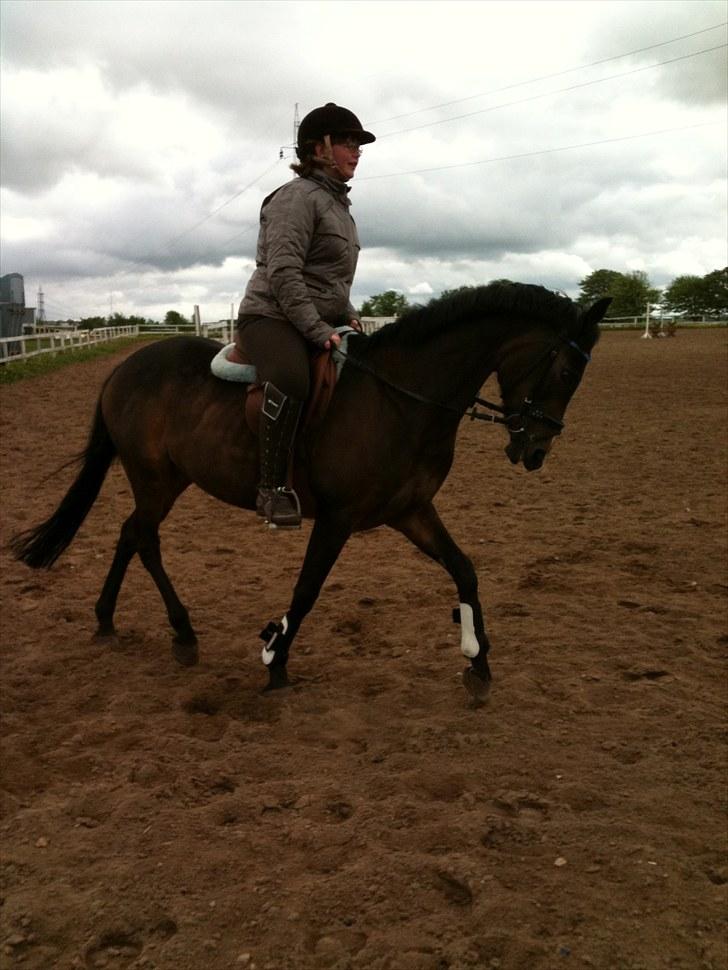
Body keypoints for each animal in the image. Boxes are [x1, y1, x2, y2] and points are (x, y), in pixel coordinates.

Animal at [11, 280, 612, 696]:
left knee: (129, 535)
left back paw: (110, 620)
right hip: (155, 479)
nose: (535, 453)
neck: (399, 400)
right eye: (565, 372)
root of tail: (124, 368)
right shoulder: (337, 518)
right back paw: (180, 633)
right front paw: (275, 659)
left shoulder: (411, 509)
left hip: (165, 479)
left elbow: (464, 570)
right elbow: (306, 590)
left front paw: (478, 660)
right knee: (144, 538)